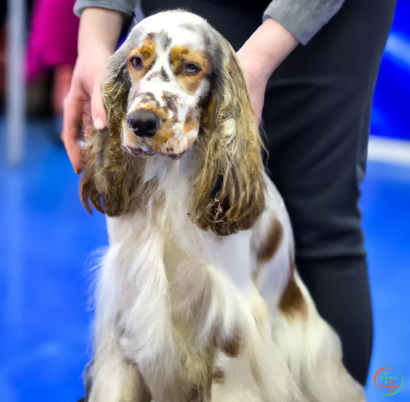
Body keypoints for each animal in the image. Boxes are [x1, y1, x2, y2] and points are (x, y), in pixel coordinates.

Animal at [79, 9, 366, 402]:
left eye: (190, 67)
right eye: (136, 61)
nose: (141, 123)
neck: (168, 181)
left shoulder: (229, 320)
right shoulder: (125, 301)